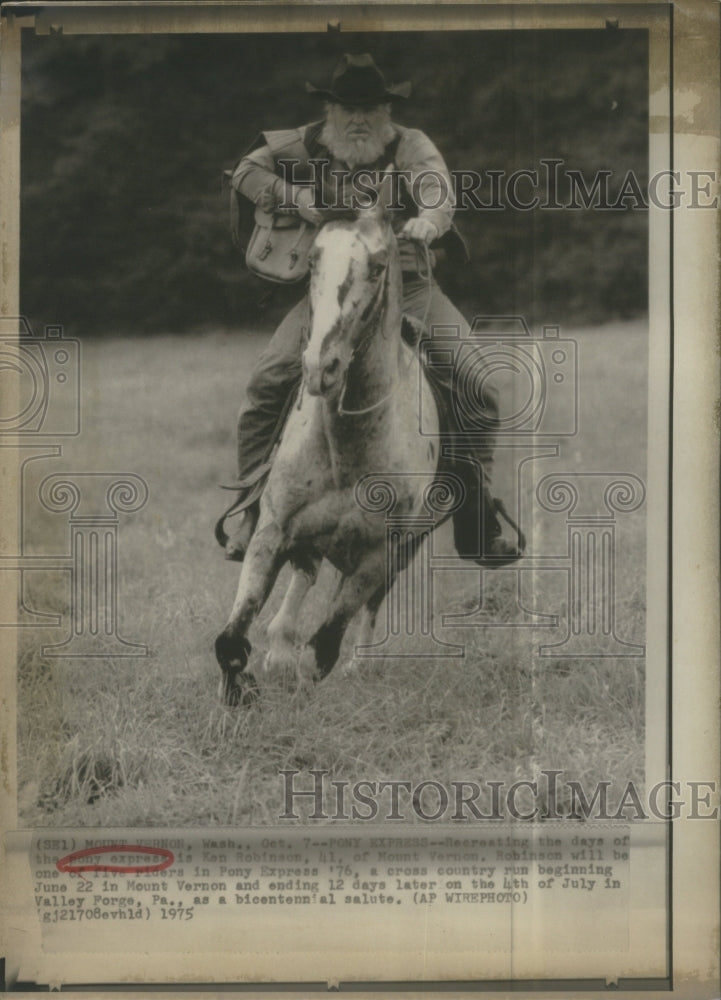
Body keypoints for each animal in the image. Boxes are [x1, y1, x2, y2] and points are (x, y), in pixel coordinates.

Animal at [214, 205, 444, 704]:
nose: (322, 367)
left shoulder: (378, 553)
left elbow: (322, 650)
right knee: (304, 574)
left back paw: (359, 664)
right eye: (313, 262)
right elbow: (231, 639)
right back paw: (279, 648)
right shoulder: (273, 531)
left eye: (377, 267)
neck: (345, 448)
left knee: (367, 604)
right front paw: (244, 689)